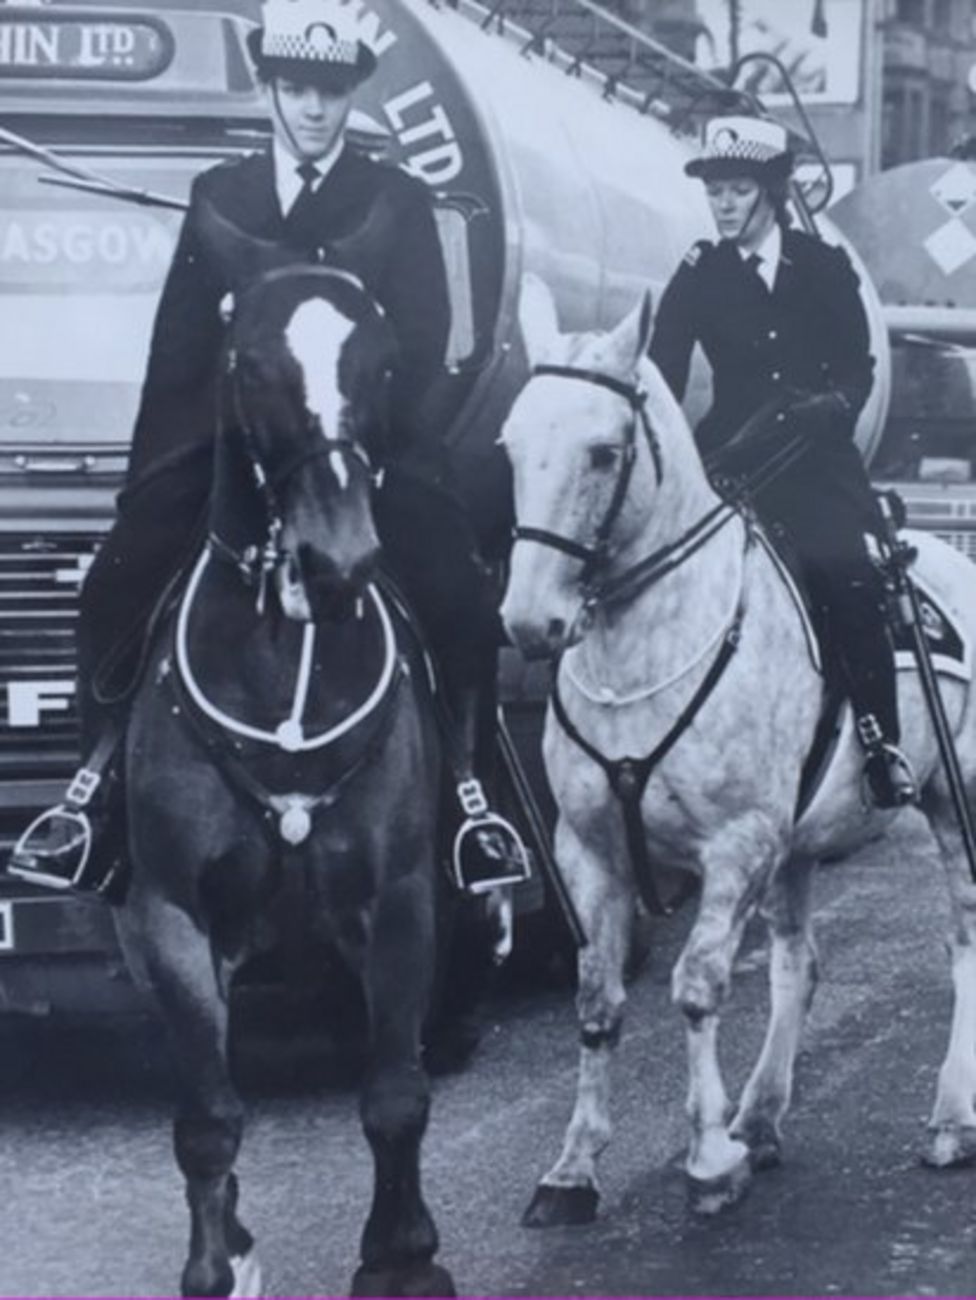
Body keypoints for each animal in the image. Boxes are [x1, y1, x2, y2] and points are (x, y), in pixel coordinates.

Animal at [113, 248, 454, 1294]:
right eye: (251, 365)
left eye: (382, 365)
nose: (337, 561)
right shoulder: (174, 917)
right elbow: (208, 1119)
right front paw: (214, 1266)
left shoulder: (399, 899)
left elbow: (394, 1093)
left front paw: (402, 1256)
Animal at [499, 274, 976, 1216]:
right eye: (509, 446)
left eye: (604, 452)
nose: (530, 623)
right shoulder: (590, 850)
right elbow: (598, 998)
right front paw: (574, 1168)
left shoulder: (736, 845)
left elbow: (697, 987)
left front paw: (708, 1156)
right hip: (798, 842)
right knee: (798, 960)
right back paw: (760, 1114)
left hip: (953, 802)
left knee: (964, 939)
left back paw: (948, 1118)